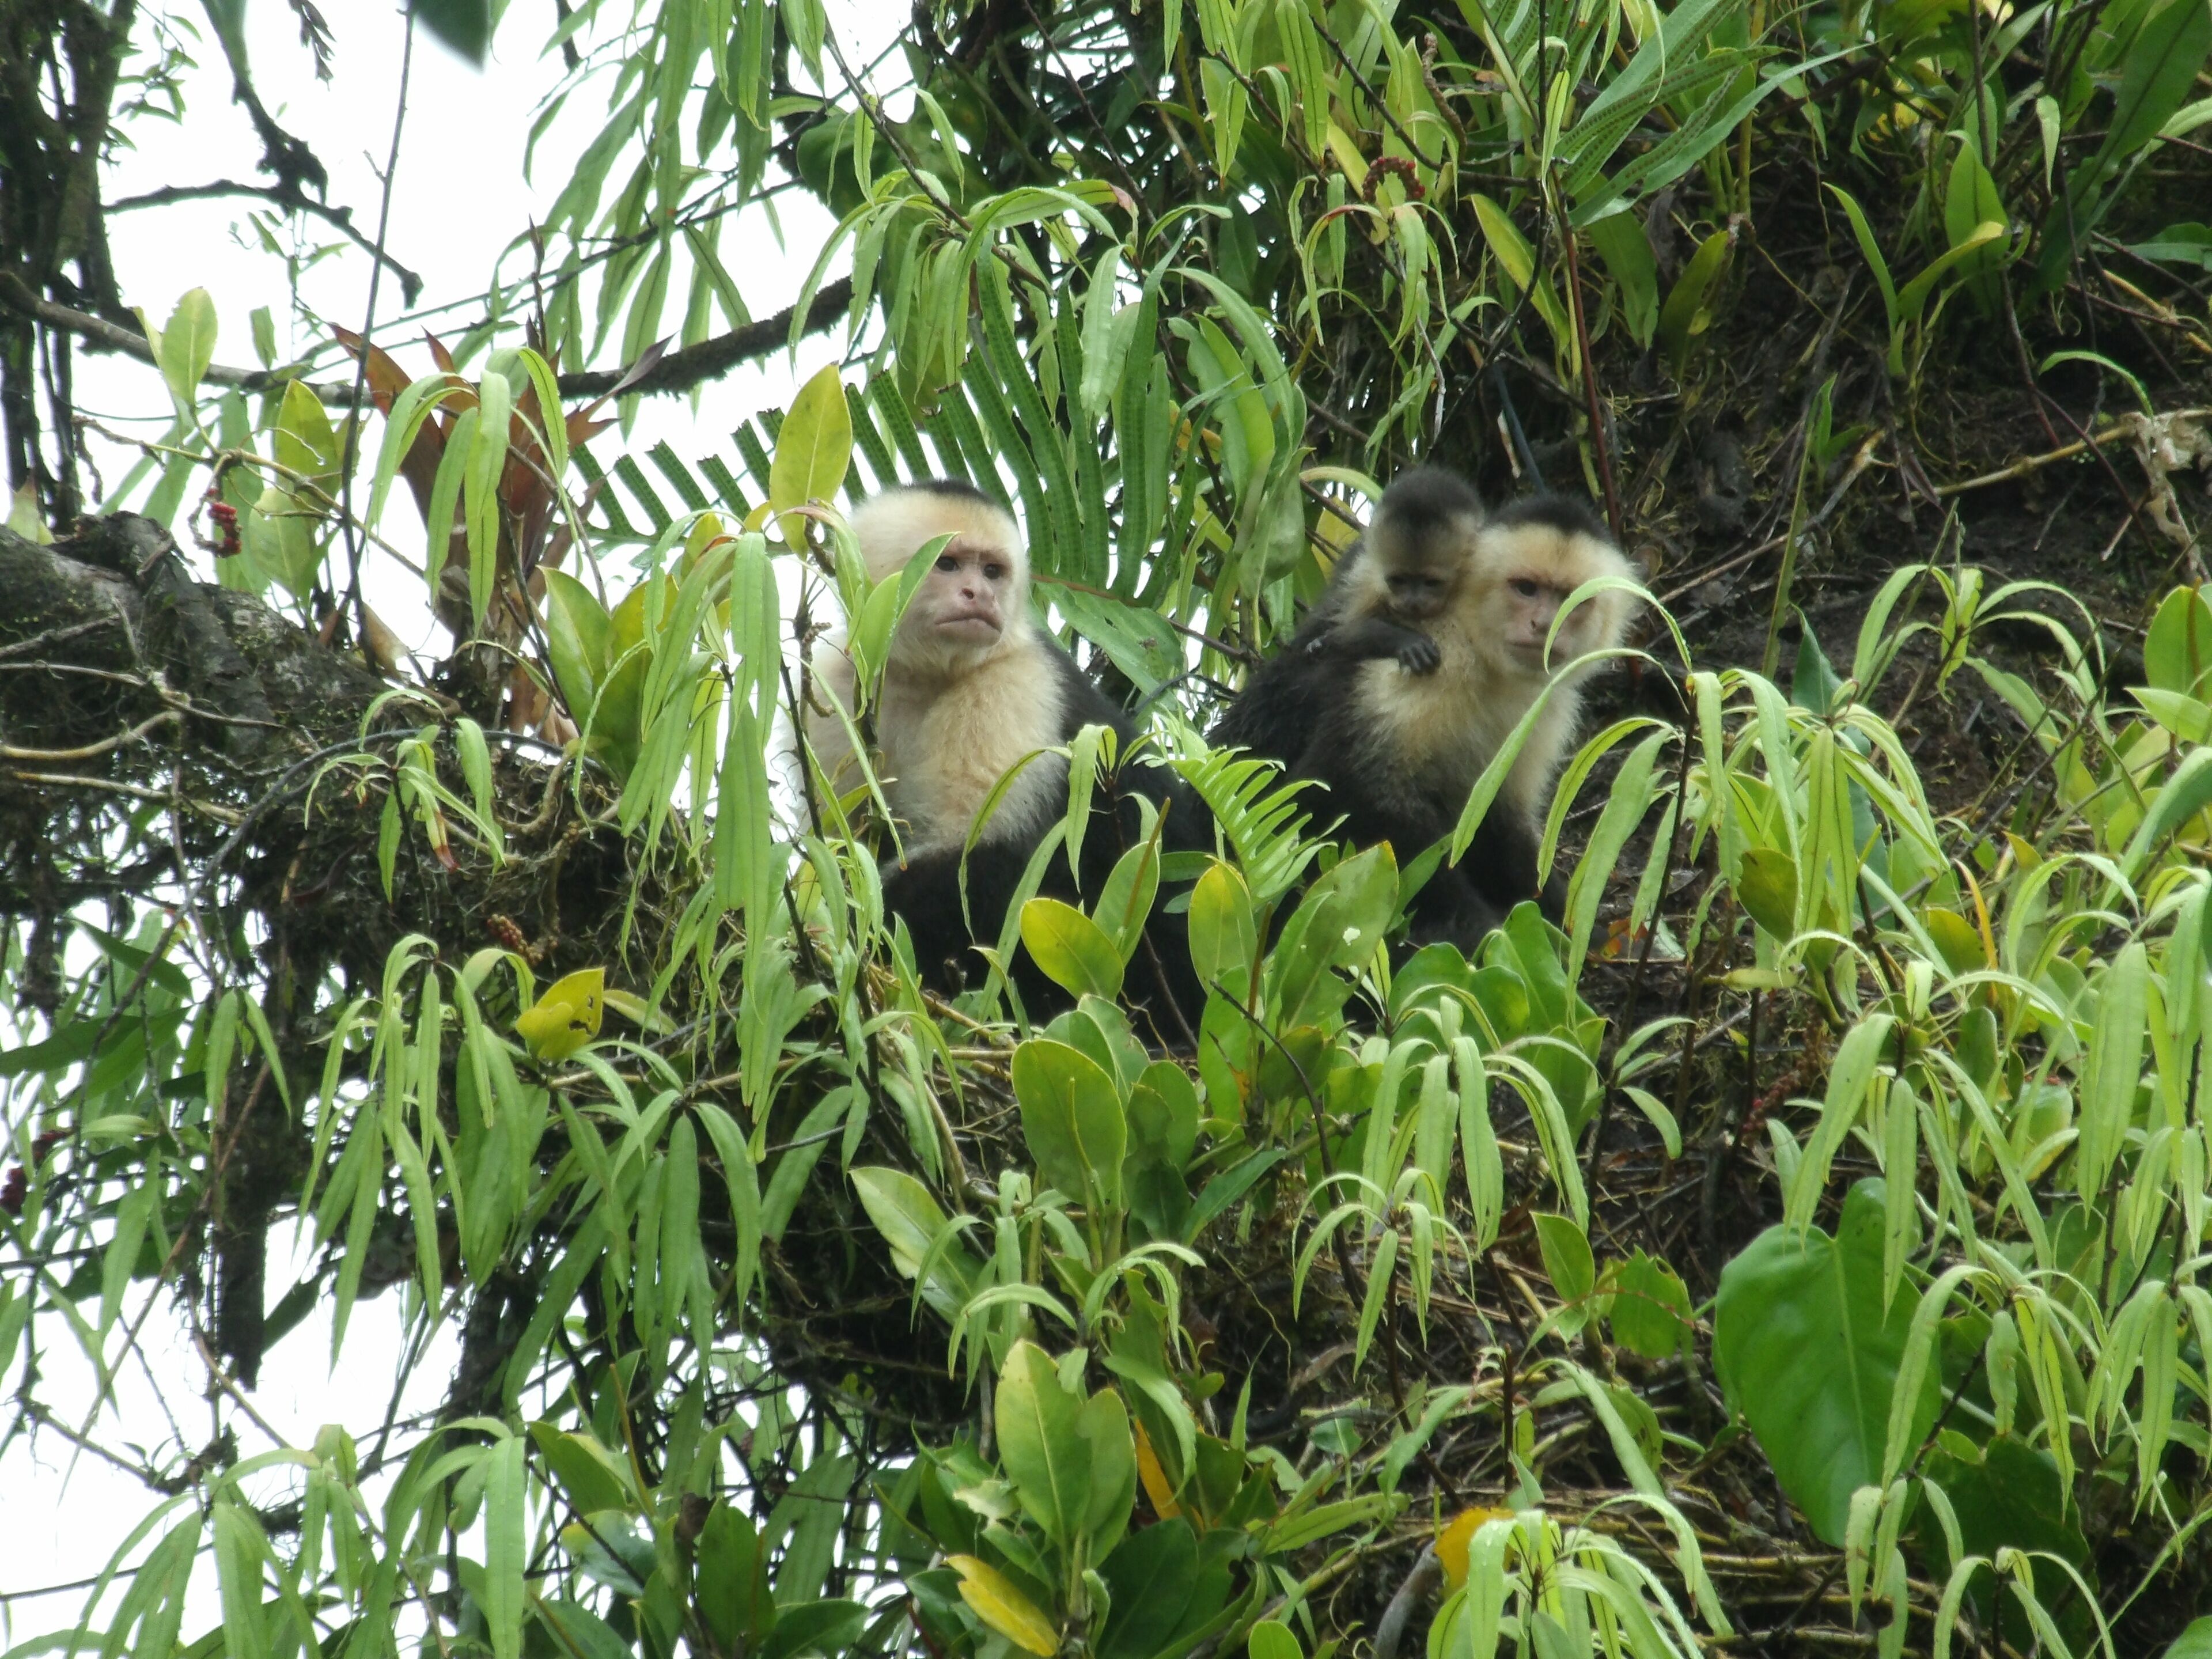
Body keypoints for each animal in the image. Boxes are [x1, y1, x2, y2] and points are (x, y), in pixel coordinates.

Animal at [803, 480, 1205, 1035]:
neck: (924, 676)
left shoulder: (1014, 685)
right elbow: (841, 846)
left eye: (993, 571)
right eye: (948, 564)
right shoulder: (839, 690)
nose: (981, 595)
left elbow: (995, 870)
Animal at [1210, 470, 1639, 951]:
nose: (1545, 625)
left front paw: (1570, 922)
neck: (1488, 659)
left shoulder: (1544, 705)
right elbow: (1349, 790)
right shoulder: (1438, 653)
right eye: (1526, 588)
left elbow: (1496, 819)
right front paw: (1481, 930)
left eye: (1572, 600)